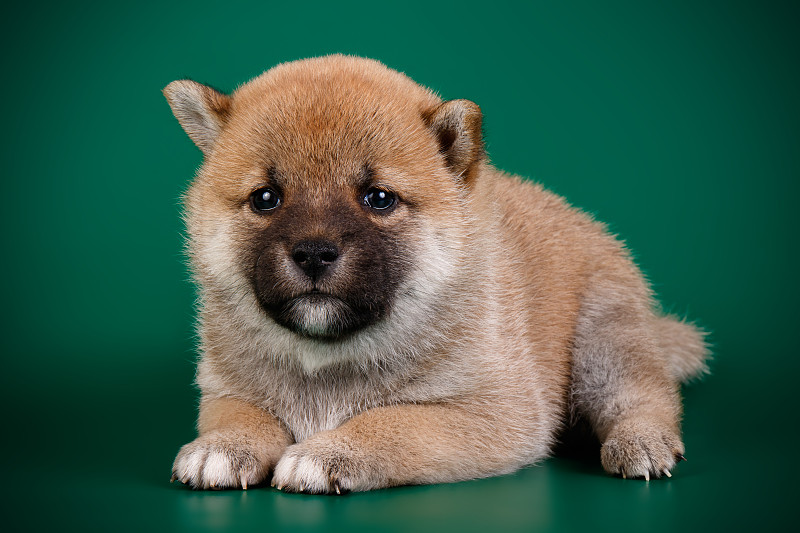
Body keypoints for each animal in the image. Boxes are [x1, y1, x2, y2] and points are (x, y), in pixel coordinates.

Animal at [162, 56, 708, 492]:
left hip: (604, 340)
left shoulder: (489, 412)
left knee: (644, 393)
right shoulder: (225, 390)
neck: (326, 359)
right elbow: (243, 415)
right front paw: (224, 445)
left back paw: (642, 440)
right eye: (265, 198)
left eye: (378, 198)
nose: (313, 253)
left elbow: (391, 423)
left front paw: (327, 453)